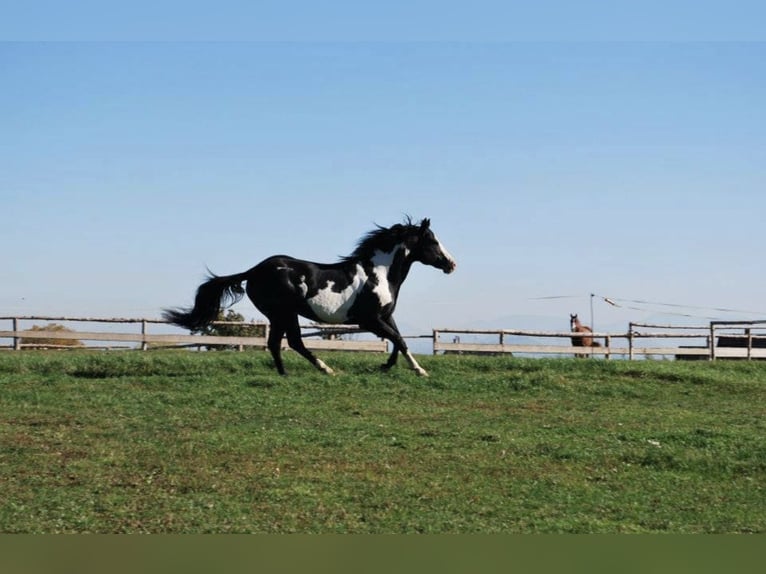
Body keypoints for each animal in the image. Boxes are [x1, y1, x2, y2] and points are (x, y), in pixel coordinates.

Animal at [163, 218, 456, 376]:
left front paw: (387, 366)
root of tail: (255, 270)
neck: (379, 274)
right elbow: (398, 340)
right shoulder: (369, 319)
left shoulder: (385, 316)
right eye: (432, 241)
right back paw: (323, 369)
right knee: (291, 342)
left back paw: (288, 373)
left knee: (278, 343)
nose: (451, 264)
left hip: (281, 315)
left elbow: (397, 341)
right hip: (284, 312)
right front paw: (420, 370)